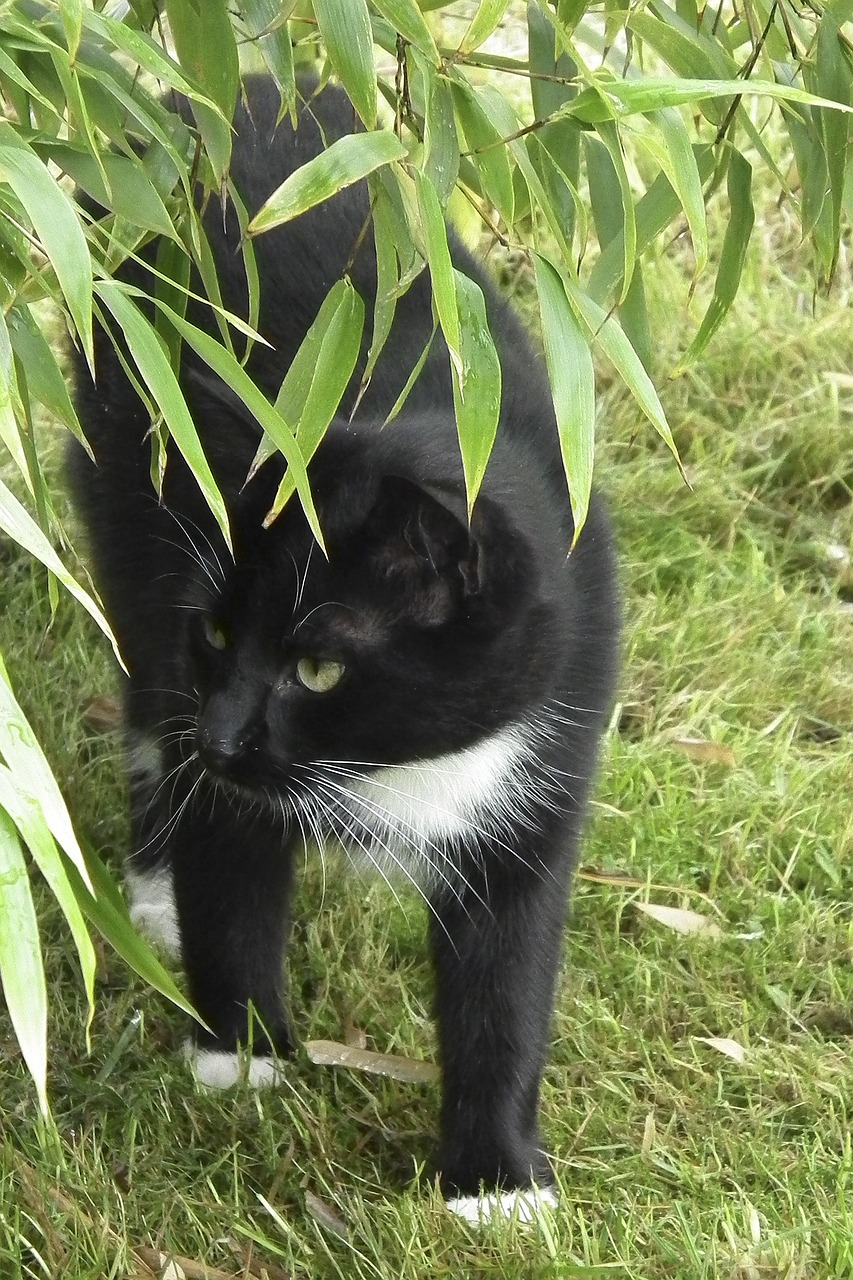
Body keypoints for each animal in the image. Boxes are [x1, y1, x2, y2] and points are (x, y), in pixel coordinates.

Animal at [69, 77, 614, 1218]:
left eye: (317, 665)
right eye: (218, 630)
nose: (226, 737)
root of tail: (238, 87)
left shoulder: (555, 744)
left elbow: (508, 971)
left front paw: (496, 1181)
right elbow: (231, 870)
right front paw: (240, 1059)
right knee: (145, 702)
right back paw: (155, 881)